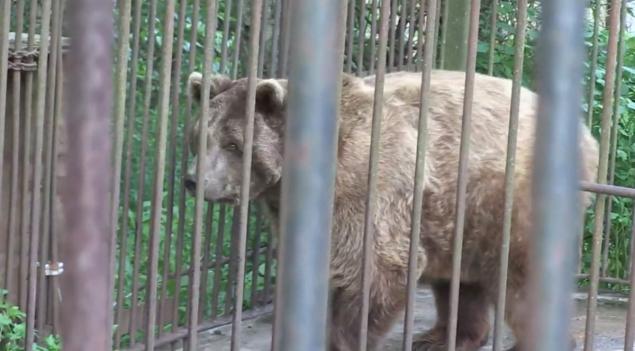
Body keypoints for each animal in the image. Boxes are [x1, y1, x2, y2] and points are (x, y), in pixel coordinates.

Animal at [185, 69, 600, 351]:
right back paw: (442, 337)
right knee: (460, 281)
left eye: (234, 144)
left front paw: (342, 340)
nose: (194, 181)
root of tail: (587, 135)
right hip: (458, 211)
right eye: (199, 135)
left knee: (521, 276)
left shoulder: (366, 183)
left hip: (508, 195)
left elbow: (375, 270)